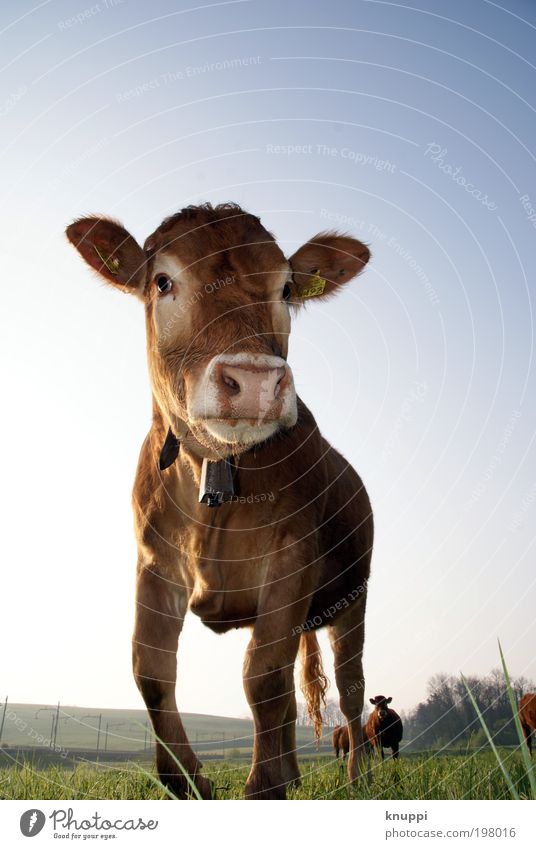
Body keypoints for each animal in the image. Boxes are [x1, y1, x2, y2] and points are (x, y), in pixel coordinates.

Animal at [67, 202, 374, 800]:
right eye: (163, 281)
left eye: (285, 288)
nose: (254, 381)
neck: (215, 469)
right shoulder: (155, 561)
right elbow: (151, 669)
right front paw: (187, 781)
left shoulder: (292, 557)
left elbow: (263, 677)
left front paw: (262, 786)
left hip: (351, 599)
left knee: (349, 690)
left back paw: (357, 779)